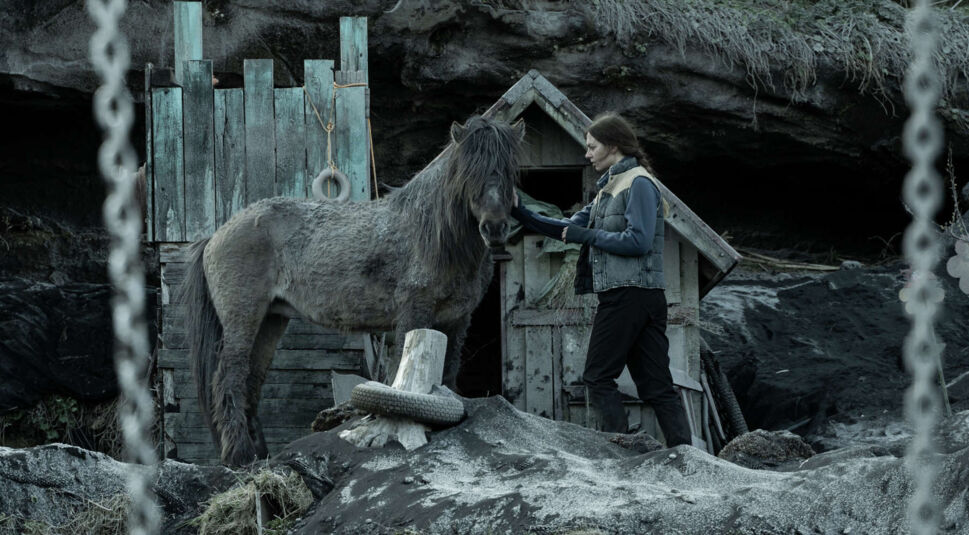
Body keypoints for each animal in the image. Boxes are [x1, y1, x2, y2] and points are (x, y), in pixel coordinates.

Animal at [181, 115, 524, 466]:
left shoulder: (457, 320)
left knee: (252, 378)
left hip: (271, 320)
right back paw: (239, 454)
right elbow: (402, 378)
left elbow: (448, 377)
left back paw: (259, 454)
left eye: (510, 169)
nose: (495, 228)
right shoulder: (414, 314)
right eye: (469, 171)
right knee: (230, 378)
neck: (431, 235)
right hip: (243, 319)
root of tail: (217, 235)